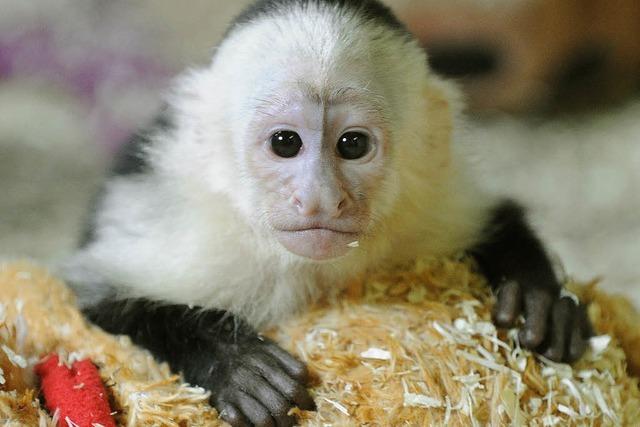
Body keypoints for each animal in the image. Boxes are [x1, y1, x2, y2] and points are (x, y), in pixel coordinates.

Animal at [62, 0, 592, 427]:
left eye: (352, 144)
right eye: (285, 142)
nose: (319, 198)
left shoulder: (424, 207)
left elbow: (495, 217)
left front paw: (536, 296)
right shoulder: (191, 232)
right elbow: (95, 303)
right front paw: (236, 363)